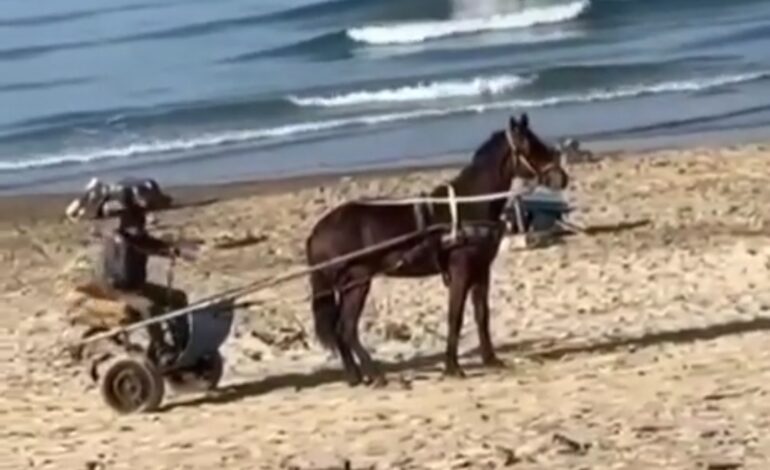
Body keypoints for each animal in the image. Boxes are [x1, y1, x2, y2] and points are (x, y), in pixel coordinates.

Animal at [304, 114, 568, 386]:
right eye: (529, 145)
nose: (562, 178)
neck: (468, 206)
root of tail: (318, 231)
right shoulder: (461, 271)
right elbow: (455, 317)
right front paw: (452, 367)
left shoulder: (481, 270)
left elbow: (481, 315)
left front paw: (491, 359)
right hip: (357, 282)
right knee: (346, 328)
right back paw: (374, 374)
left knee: (340, 330)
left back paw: (355, 376)